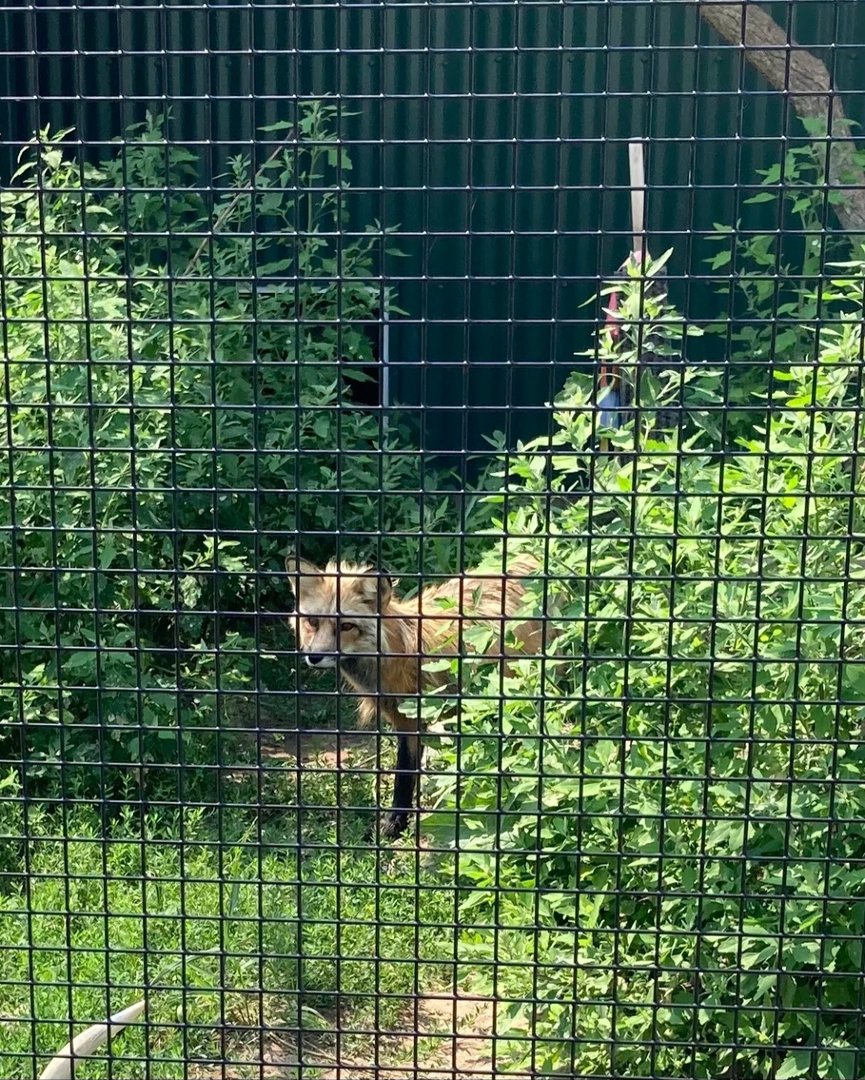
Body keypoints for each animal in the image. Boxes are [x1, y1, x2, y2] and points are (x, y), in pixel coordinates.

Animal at [286, 552, 553, 840]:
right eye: (313, 622)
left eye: (346, 625)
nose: (315, 657)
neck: (400, 656)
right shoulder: (405, 723)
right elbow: (405, 776)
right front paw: (397, 823)